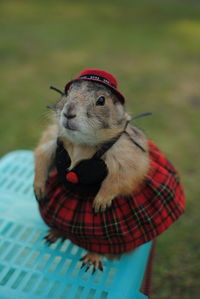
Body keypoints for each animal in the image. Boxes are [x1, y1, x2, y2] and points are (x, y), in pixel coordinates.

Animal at [33, 69, 185, 274]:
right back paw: (54, 233)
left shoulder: (126, 154)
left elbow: (121, 177)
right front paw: (39, 188)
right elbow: (42, 155)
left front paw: (100, 202)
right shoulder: (53, 137)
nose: (68, 113)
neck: (82, 143)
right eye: (67, 92)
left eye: (101, 100)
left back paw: (92, 258)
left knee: (103, 246)